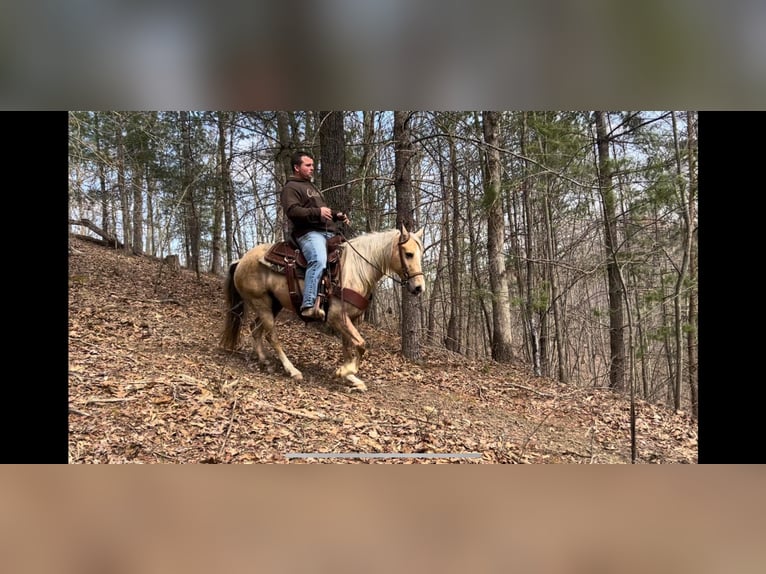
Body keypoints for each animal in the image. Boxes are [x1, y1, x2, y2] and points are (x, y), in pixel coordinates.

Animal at [219, 227, 428, 394]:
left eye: (420, 254)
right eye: (408, 254)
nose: (419, 287)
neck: (355, 270)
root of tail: (241, 260)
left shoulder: (349, 319)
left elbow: (350, 348)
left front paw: (351, 378)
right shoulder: (337, 317)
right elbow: (361, 345)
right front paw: (344, 372)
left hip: (273, 304)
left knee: (255, 329)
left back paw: (265, 361)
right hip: (261, 302)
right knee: (272, 335)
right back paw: (292, 370)